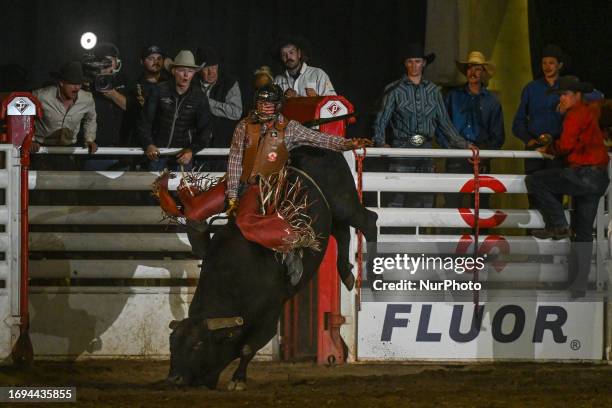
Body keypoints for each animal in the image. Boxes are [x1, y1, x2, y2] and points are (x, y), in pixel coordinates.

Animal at [167, 147, 378, 388]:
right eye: (172, 344)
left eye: (198, 345)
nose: (174, 378)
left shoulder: (269, 315)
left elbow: (248, 348)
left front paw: (238, 379)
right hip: (331, 216)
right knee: (342, 233)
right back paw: (347, 274)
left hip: (345, 203)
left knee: (369, 220)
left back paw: (372, 273)